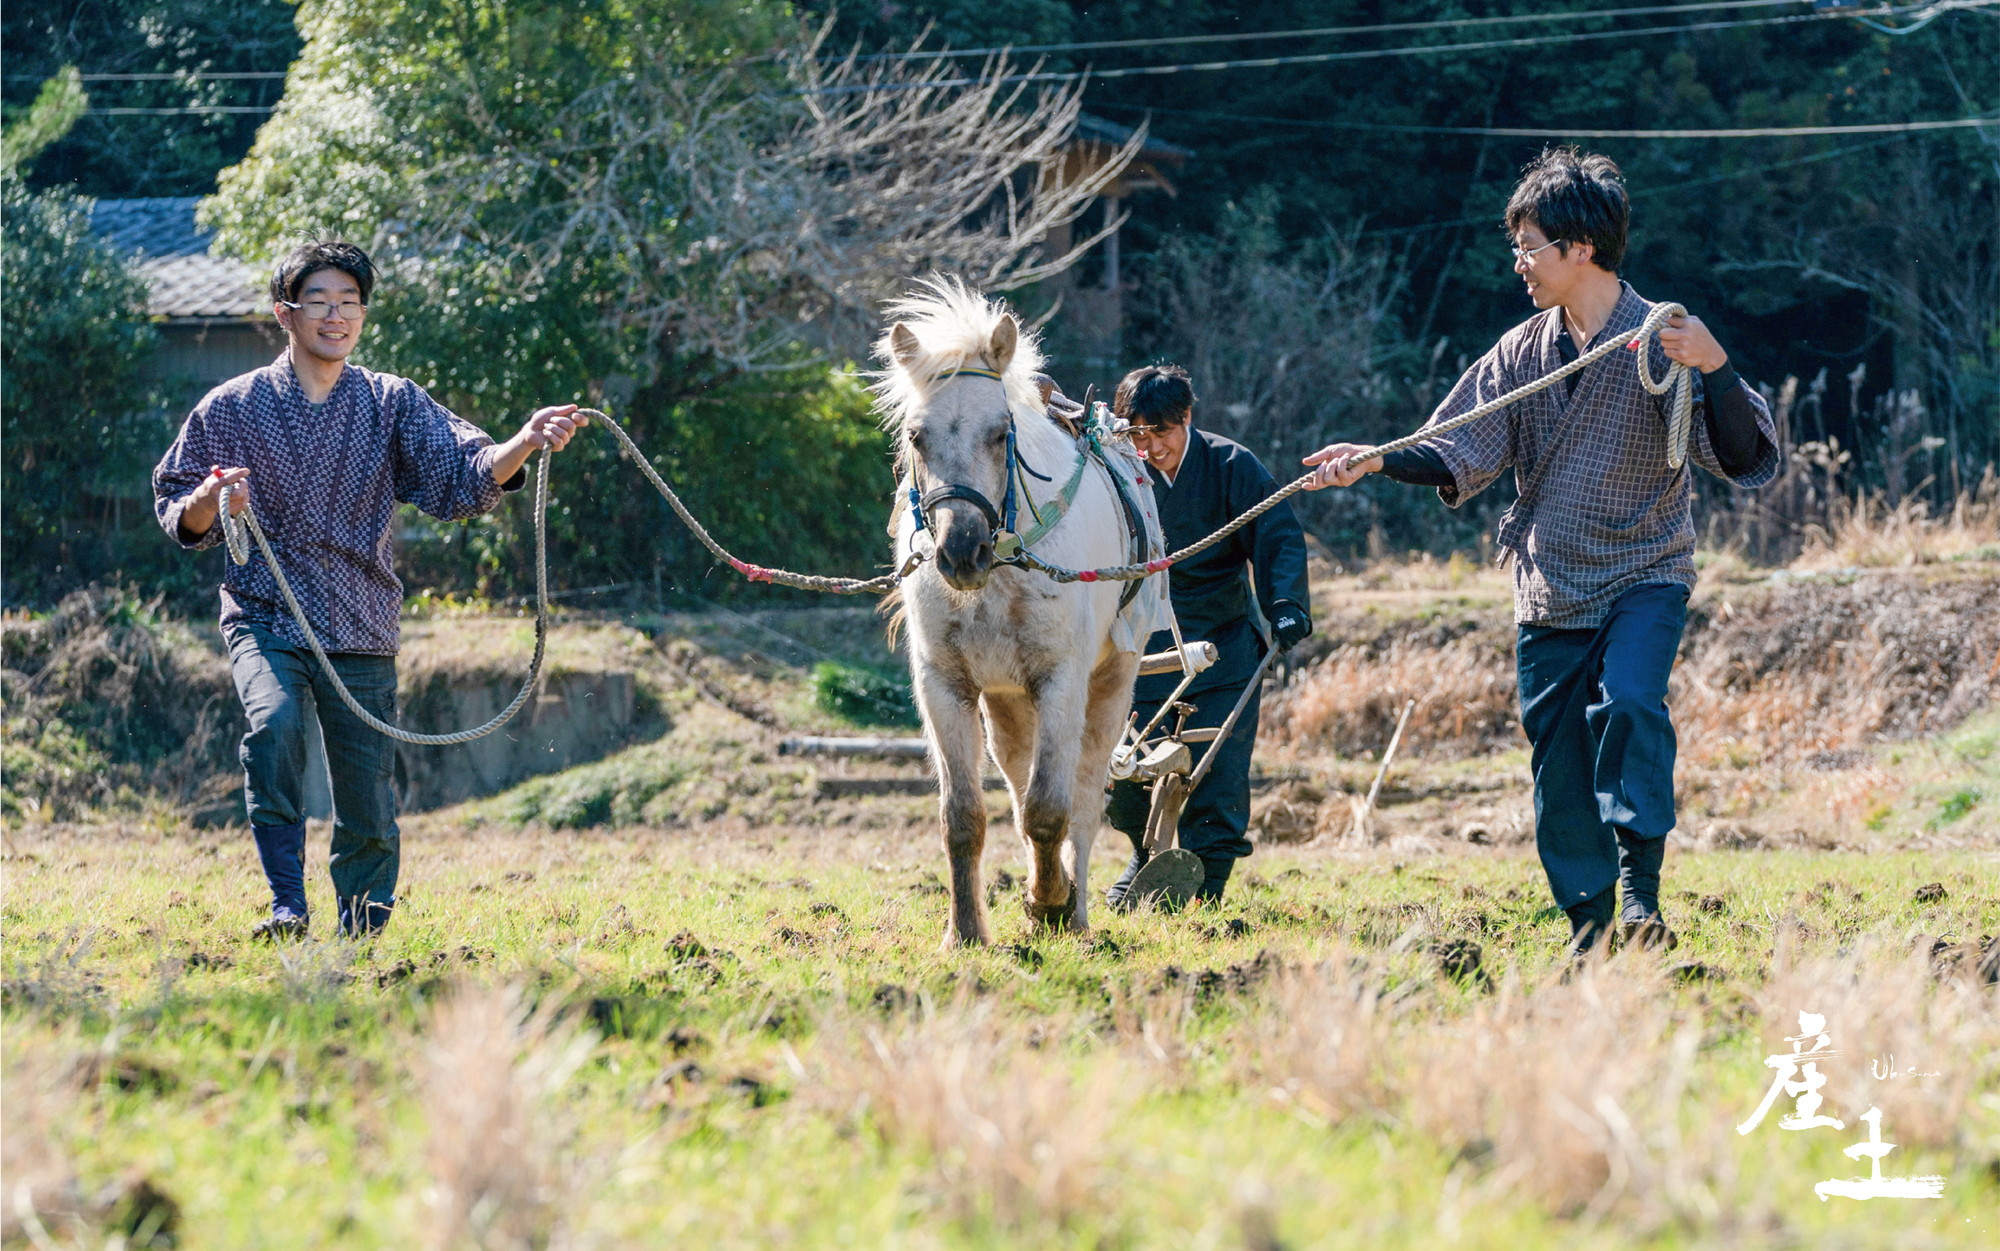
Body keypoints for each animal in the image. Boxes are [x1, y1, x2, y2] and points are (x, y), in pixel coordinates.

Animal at [872, 277, 1168, 939]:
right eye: (916, 436)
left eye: (999, 431)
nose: (961, 550)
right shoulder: (946, 685)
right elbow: (963, 817)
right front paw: (965, 931)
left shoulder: (1061, 680)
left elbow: (1051, 807)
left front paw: (1051, 901)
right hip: (1006, 701)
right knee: (1014, 777)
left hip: (1112, 681)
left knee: (1083, 799)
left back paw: (1074, 911)